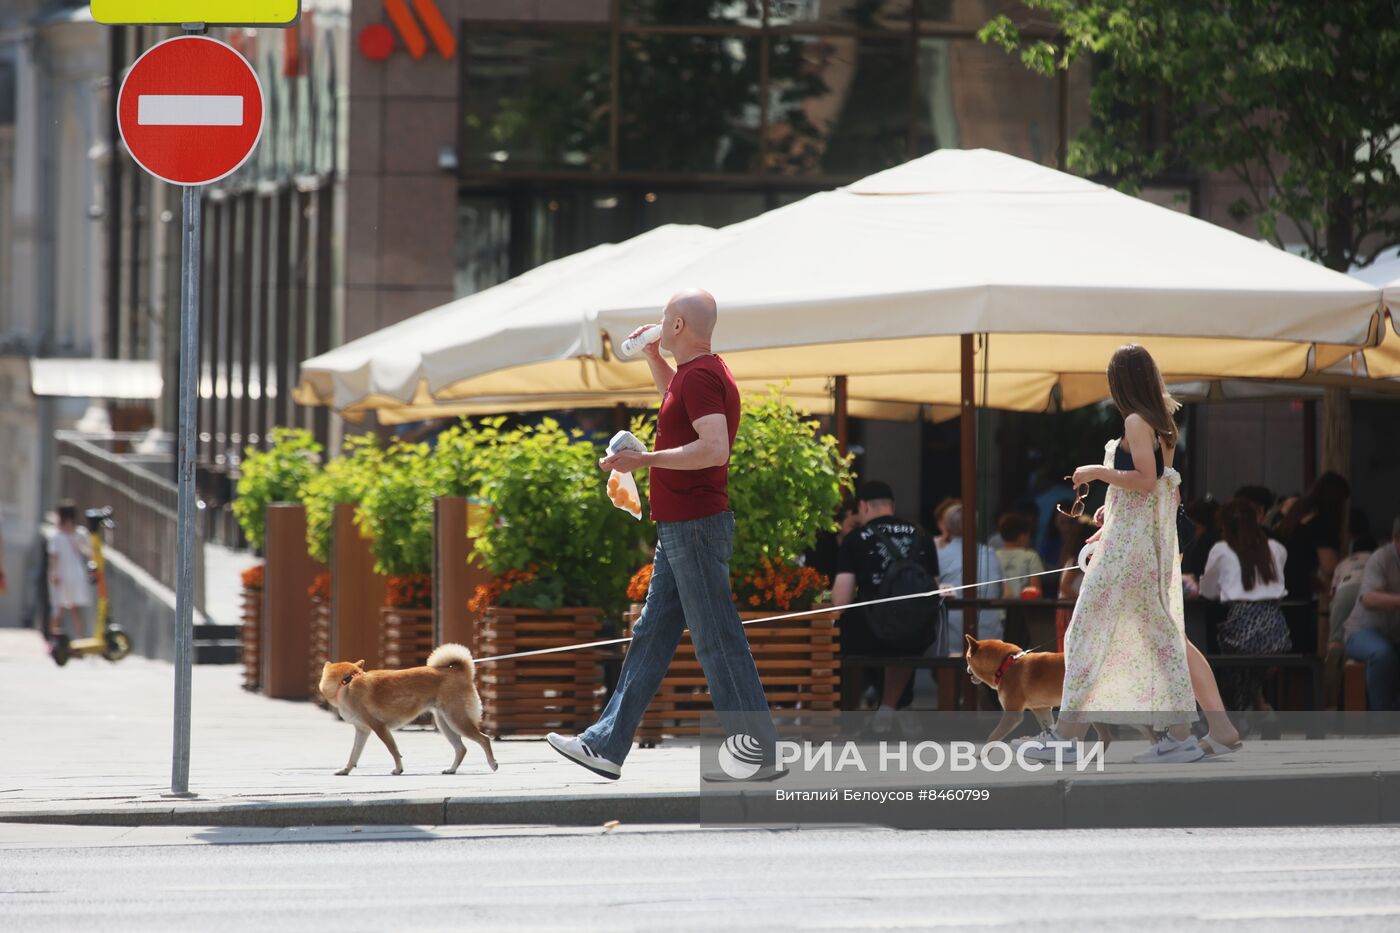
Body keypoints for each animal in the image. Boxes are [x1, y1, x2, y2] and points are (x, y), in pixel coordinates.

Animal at [319, 644, 498, 773]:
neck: (347, 682)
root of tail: (460, 671)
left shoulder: (379, 727)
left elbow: (393, 749)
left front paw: (398, 769)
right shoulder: (362, 730)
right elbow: (354, 754)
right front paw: (345, 770)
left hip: (457, 720)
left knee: (484, 739)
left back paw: (492, 763)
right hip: (445, 723)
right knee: (461, 749)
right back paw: (451, 769)